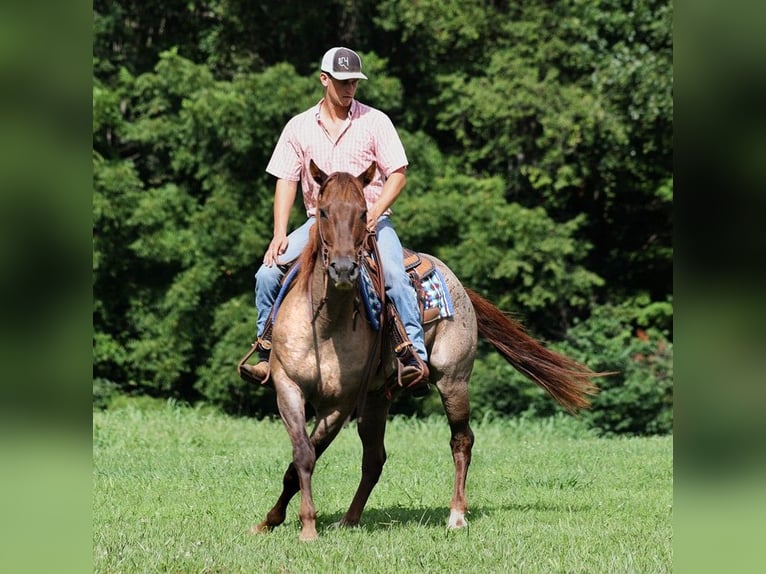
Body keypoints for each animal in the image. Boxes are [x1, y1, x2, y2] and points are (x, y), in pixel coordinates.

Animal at [252, 160, 600, 544]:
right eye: (324, 211)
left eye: (363, 213)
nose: (344, 269)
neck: (326, 324)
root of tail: (458, 283)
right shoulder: (288, 388)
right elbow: (301, 457)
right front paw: (273, 521)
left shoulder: (338, 405)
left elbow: (308, 454)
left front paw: (306, 526)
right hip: (376, 399)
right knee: (374, 459)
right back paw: (350, 519)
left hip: (453, 382)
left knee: (461, 441)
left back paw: (457, 515)